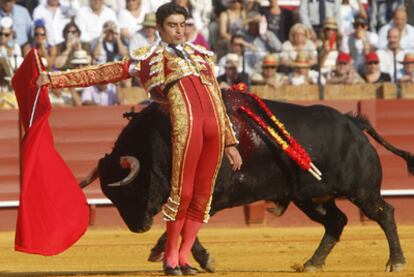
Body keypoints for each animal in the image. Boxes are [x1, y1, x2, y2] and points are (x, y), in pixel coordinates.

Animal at [80, 89, 410, 272]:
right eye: (112, 197)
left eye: (129, 191)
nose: (137, 228)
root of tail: (353, 122)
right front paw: (183, 257)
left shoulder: (213, 195)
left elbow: (186, 227)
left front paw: (173, 254)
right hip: (310, 198)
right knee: (336, 222)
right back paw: (312, 264)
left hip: (361, 191)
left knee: (385, 213)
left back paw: (395, 261)